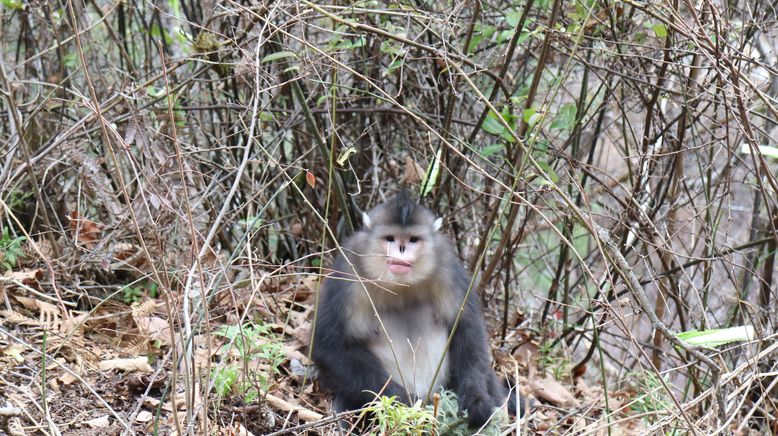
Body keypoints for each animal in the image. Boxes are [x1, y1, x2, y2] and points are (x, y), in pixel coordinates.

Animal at [310, 192, 516, 430]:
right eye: (390, 238)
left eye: (413, 240)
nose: (401, 250)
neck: (400, 285)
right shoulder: (347, 275)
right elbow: (330, 346)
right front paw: (408, 405)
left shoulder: (449, 268)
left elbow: (466, 329)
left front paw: (476, 400)